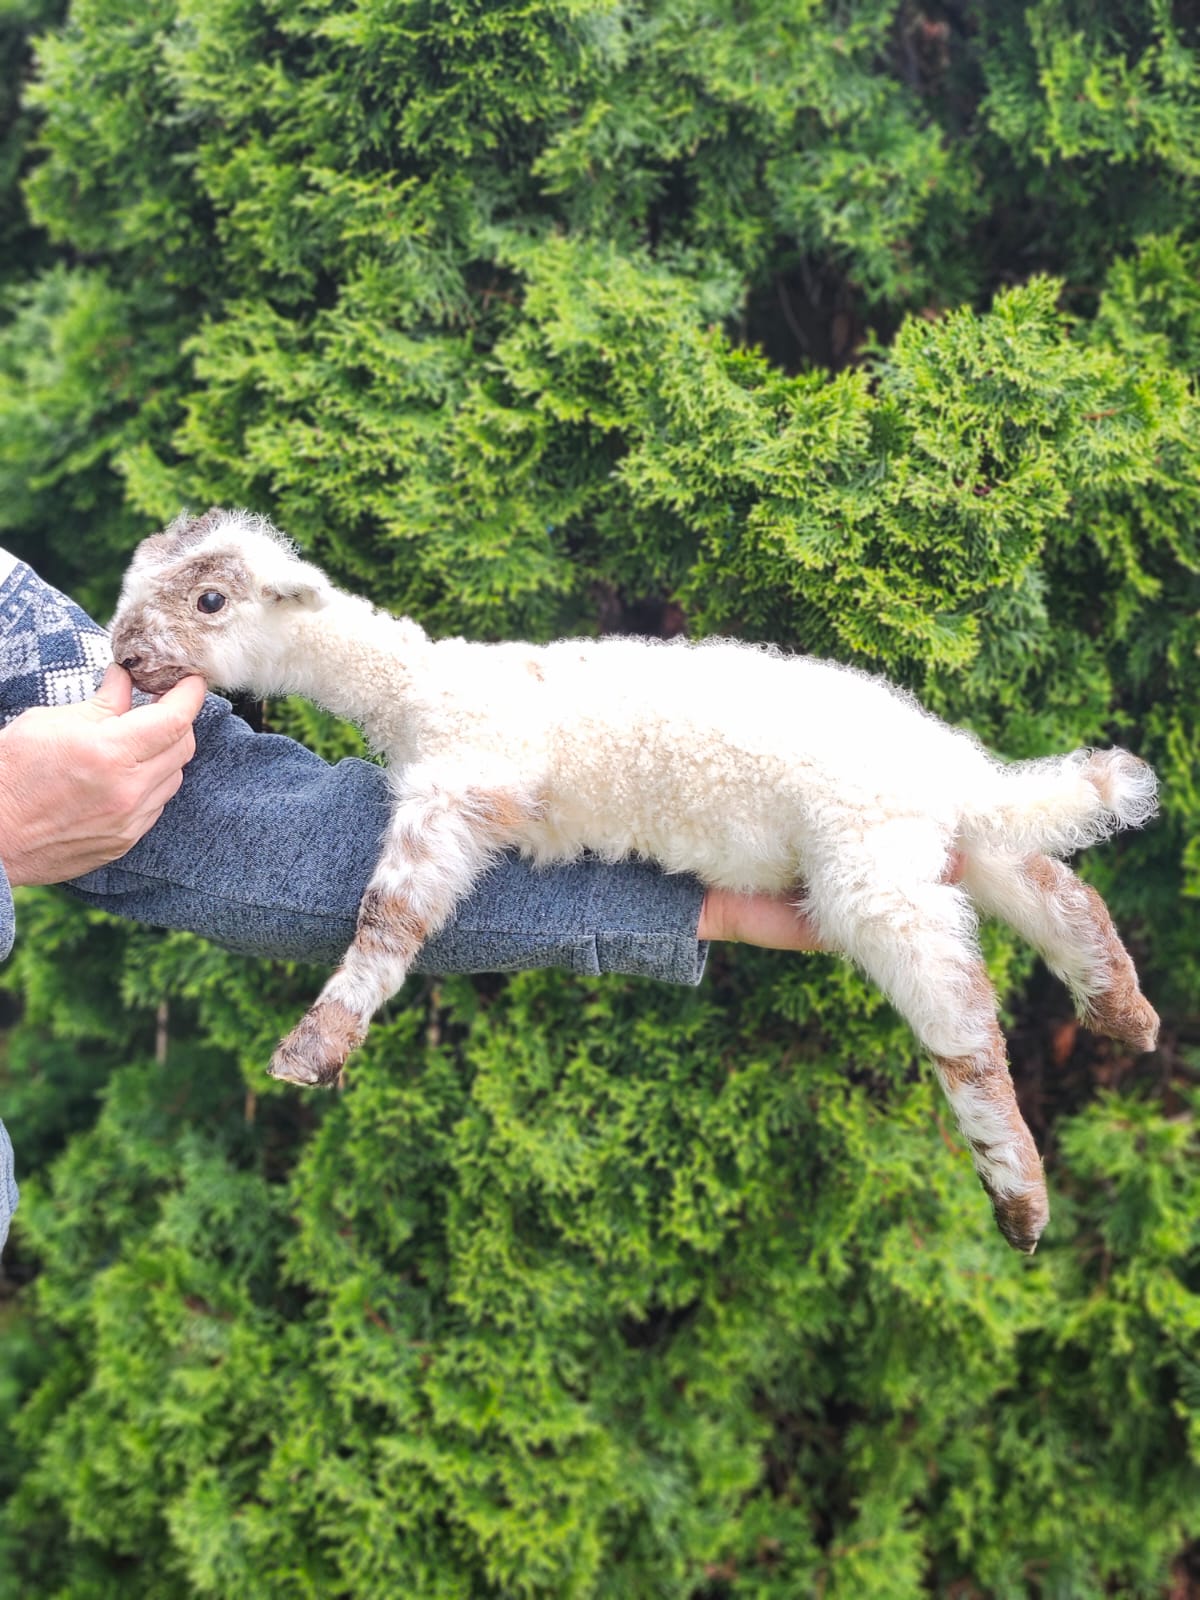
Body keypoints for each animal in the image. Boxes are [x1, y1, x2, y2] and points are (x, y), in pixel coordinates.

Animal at [110, 507, 1161, 1253]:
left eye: (210, 602)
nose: (122, 656)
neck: (415, 687)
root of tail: (955, 777)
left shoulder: (455, 791)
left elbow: (389, 919)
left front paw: (314, 1047)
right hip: (951, 854)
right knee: (1061, 892)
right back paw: (1127, 1012)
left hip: (878, 880)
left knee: (971, 1036)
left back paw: (1022, 1201)